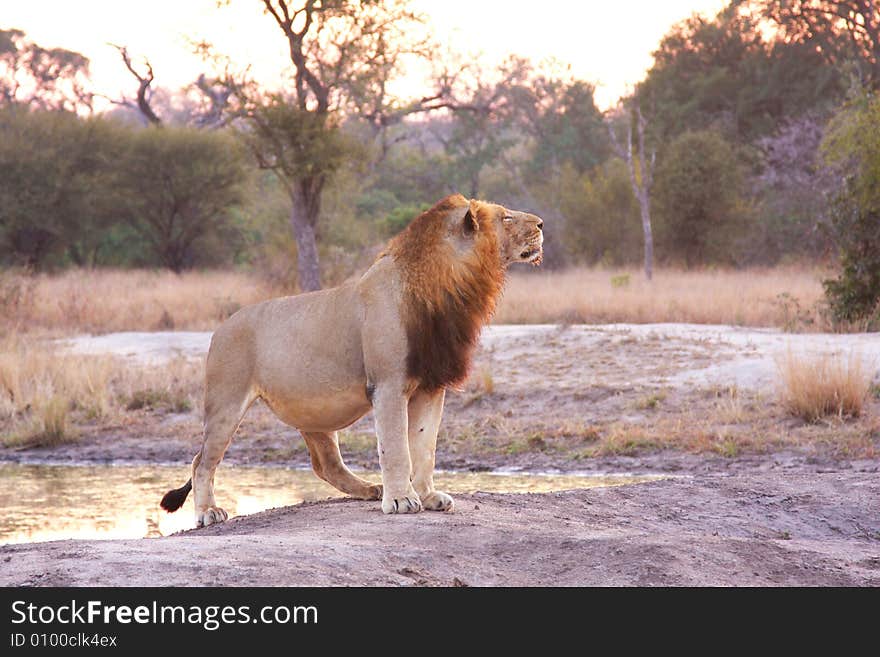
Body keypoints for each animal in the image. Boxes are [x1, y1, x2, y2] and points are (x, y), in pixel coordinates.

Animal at [160, 192, 544, 524]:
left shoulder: (431, 386)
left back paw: (369, 490)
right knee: (201, 461)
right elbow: (396, 447)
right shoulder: (388, 385)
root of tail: (220, 327)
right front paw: (401, 500)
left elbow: (424, 447)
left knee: (325, 465)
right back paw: (208, 512)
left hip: (313, 410)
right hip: (226, 404)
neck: (451, 287)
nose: (541, 223)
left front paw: (427, 496)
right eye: (506, 217)